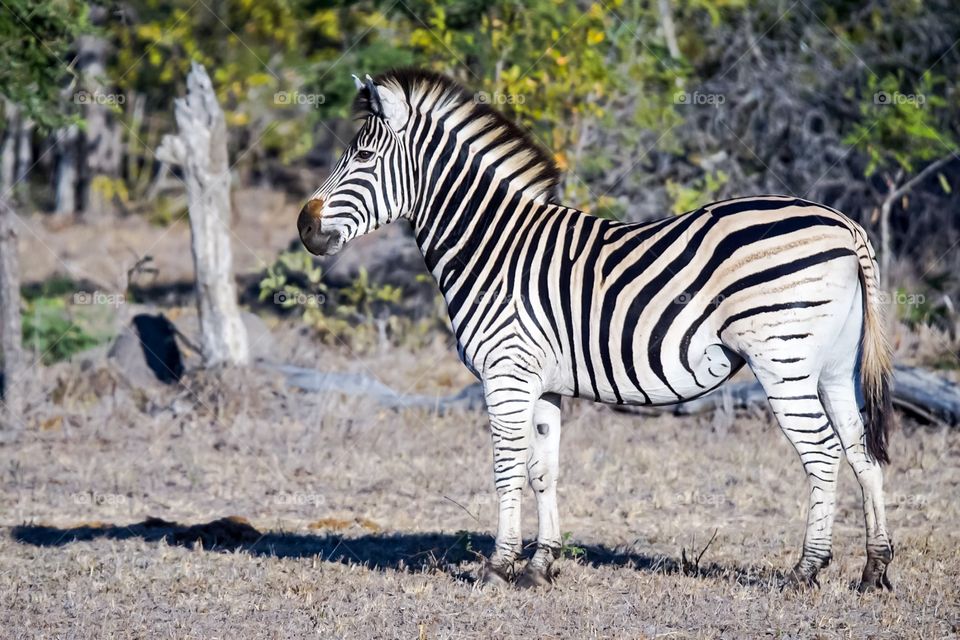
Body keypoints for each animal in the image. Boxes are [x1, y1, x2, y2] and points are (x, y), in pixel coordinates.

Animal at [296, 69, 896, 592]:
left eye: (363, 156)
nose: (304, 226)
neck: (493, 245)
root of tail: (844, 223)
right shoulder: (543, 383)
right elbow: (543, 469)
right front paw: (541, 566)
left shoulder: (505, 374)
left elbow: (505, 468)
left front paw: (498, 566)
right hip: (834, 367)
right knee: (861, 453)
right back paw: (874, 571)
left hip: (783, 360)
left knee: (822, 454)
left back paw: (807, 571)